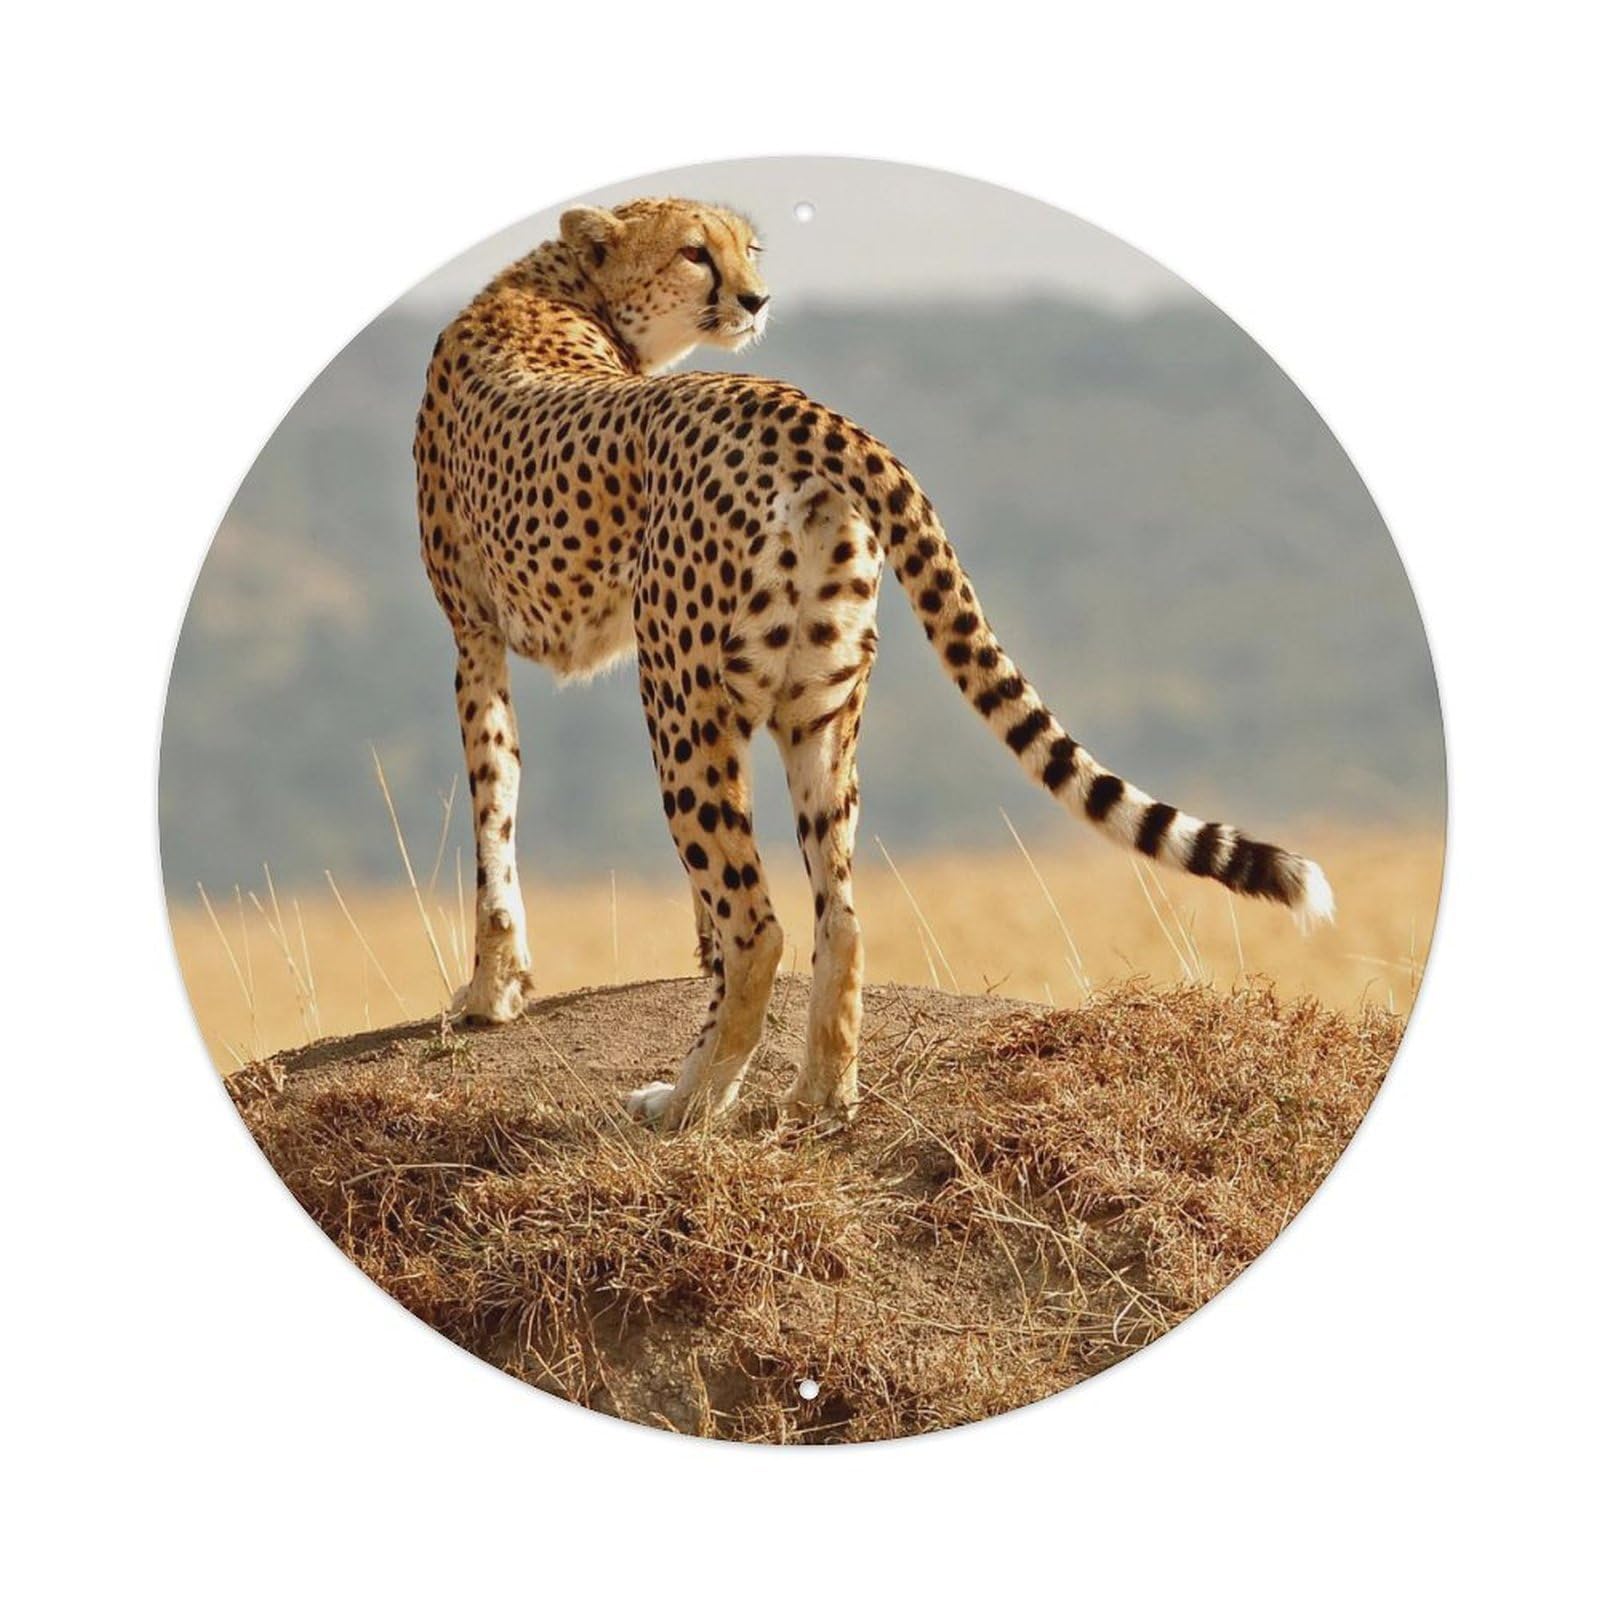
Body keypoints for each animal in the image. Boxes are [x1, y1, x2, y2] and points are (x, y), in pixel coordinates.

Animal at [415, 196, 1334, 1131]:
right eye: (694, 253)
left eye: (747, 249)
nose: (756, 299)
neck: (562, 290)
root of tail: (790, 403)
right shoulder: (491, 634)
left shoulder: (473, 635)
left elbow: (494, 805)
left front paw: (490, 991)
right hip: (818, 704)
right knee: (841, 916)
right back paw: (822, 1092)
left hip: (681, 698)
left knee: (761, 925)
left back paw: (690, 1099)